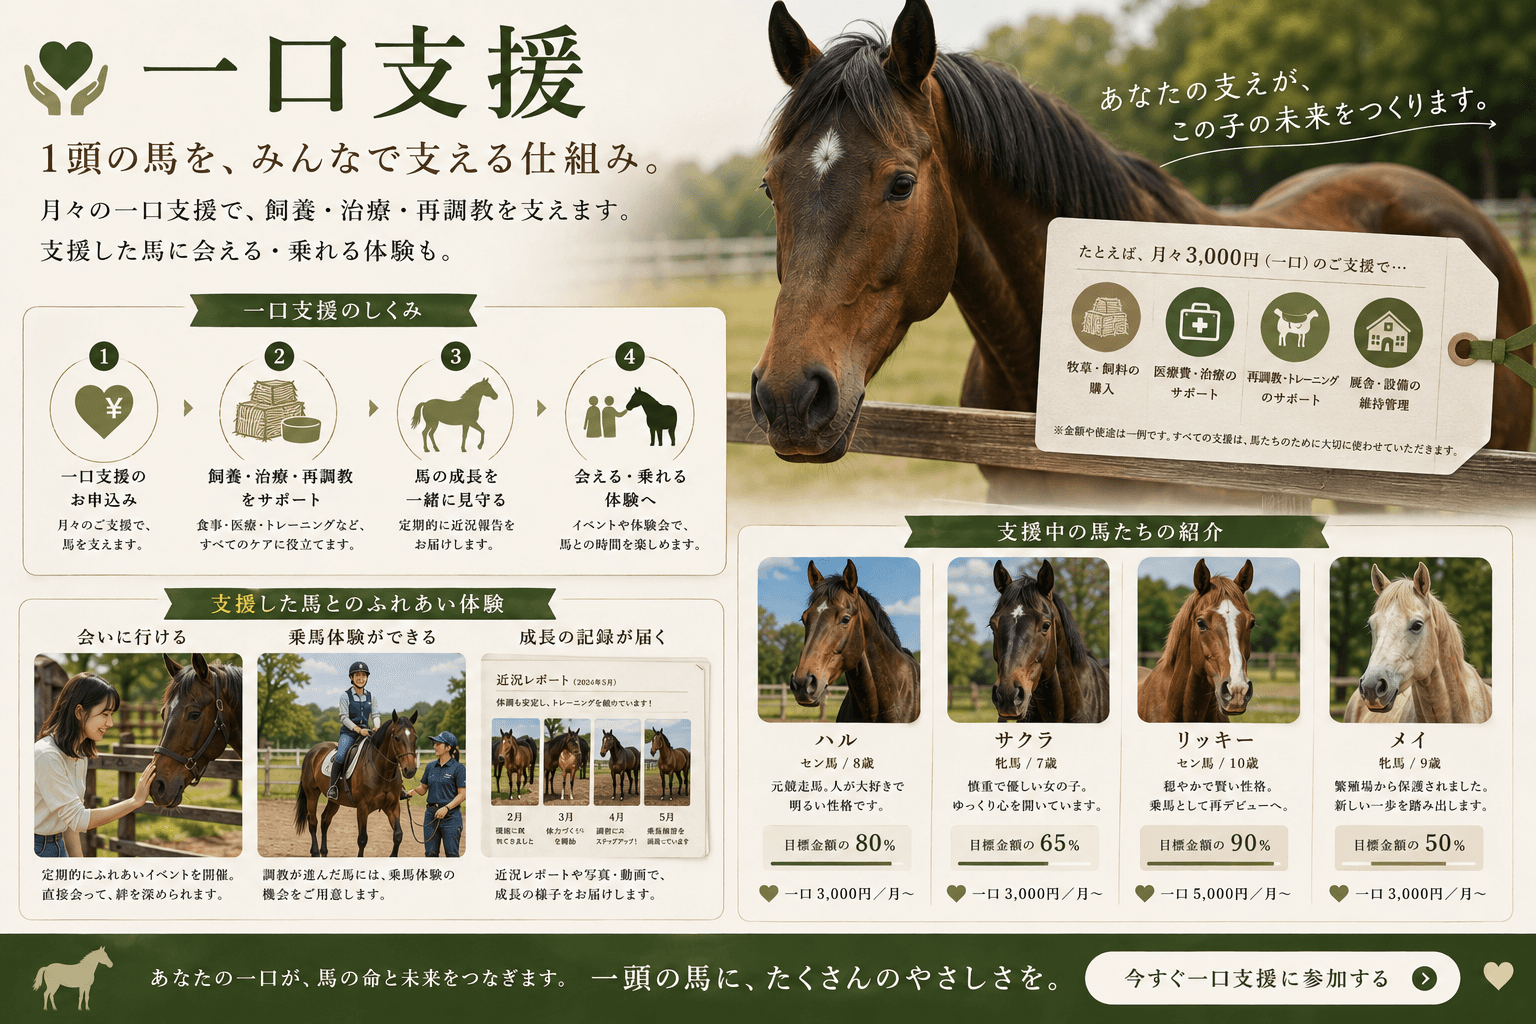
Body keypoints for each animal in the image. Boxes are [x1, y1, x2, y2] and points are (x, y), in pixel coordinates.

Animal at [292, 709, 418, 856]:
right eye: (397, 738)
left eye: (415, 738)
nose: (410, 770)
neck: (381, 771)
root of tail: (312, 752)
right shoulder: (363, 807)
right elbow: (362, 839)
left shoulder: (392, 807)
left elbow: (398, 835)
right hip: (312, 795)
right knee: (313, 822)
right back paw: (315, 852)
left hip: (334, 801)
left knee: (325, 820)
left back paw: (324, 851)